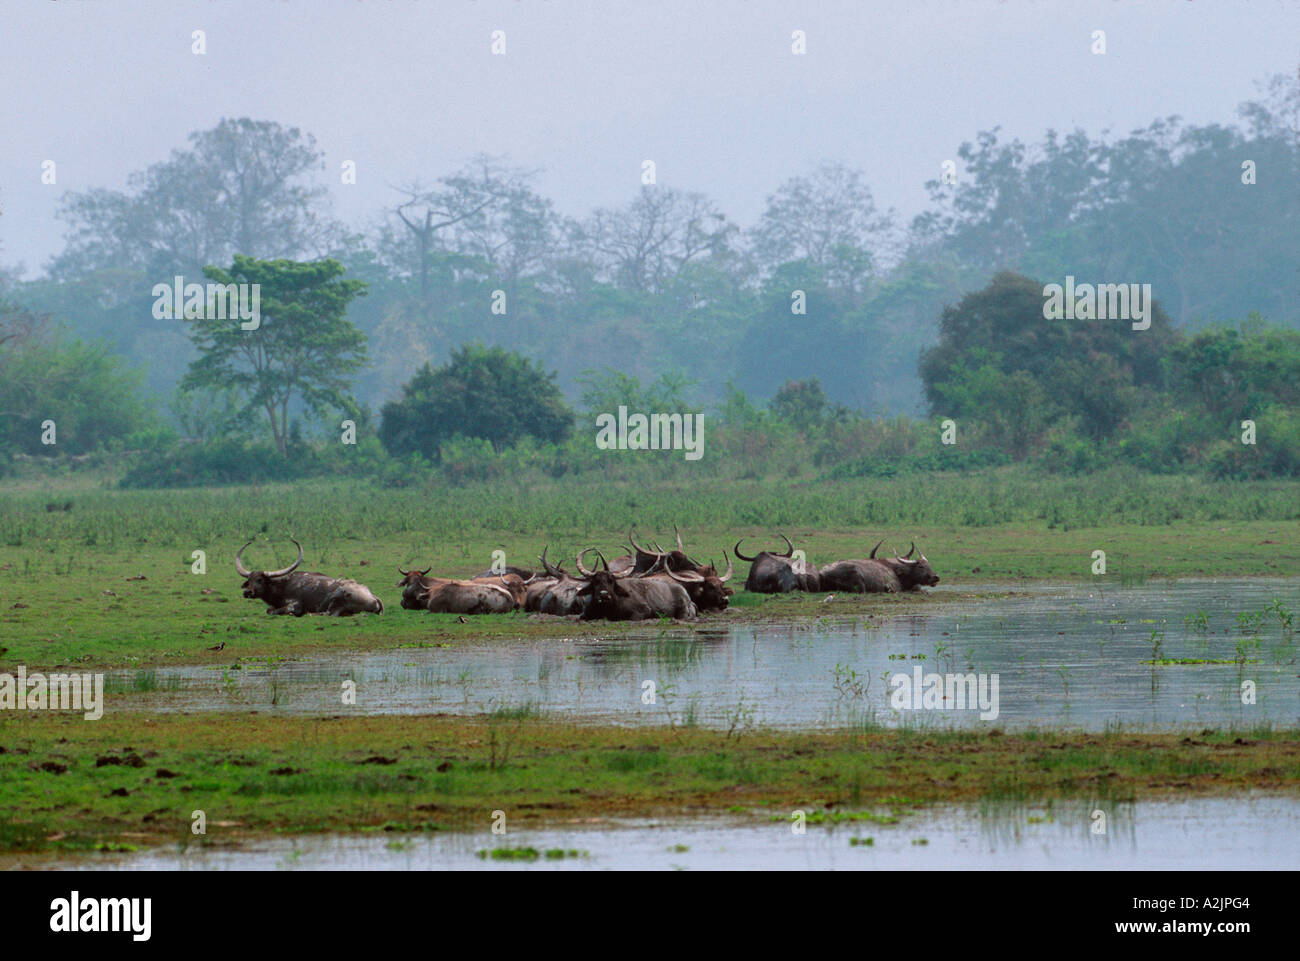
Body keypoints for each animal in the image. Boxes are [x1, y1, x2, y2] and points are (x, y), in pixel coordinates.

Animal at [236, 540, 382, 616]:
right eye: (249, 580)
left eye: (259, 580)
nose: (247, 592)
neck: (283, 586)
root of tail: (374, 598)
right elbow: (270, 609)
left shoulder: (294, 605)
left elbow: (273, 611)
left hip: (338, 596)